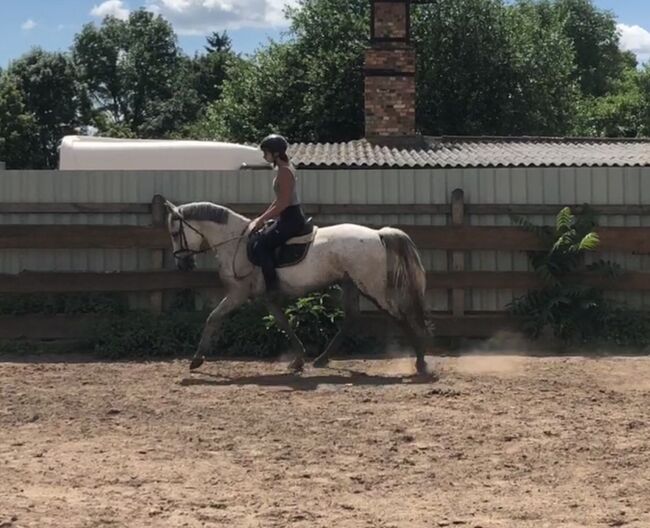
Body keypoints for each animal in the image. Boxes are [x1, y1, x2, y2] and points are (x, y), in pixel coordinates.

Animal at [165, 199, 432, 376]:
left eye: (175, 232)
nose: (182, 263)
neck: (237, 243)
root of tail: (377, 234)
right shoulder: (268, 298)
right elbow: (283, 323)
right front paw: (298, 360)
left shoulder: (238, 294)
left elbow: (213, 318)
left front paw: (196, 360)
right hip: (350, 284)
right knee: (352, 319)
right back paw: (322, 359)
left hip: (371, 286)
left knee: (398, 316)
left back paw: (420, 363)